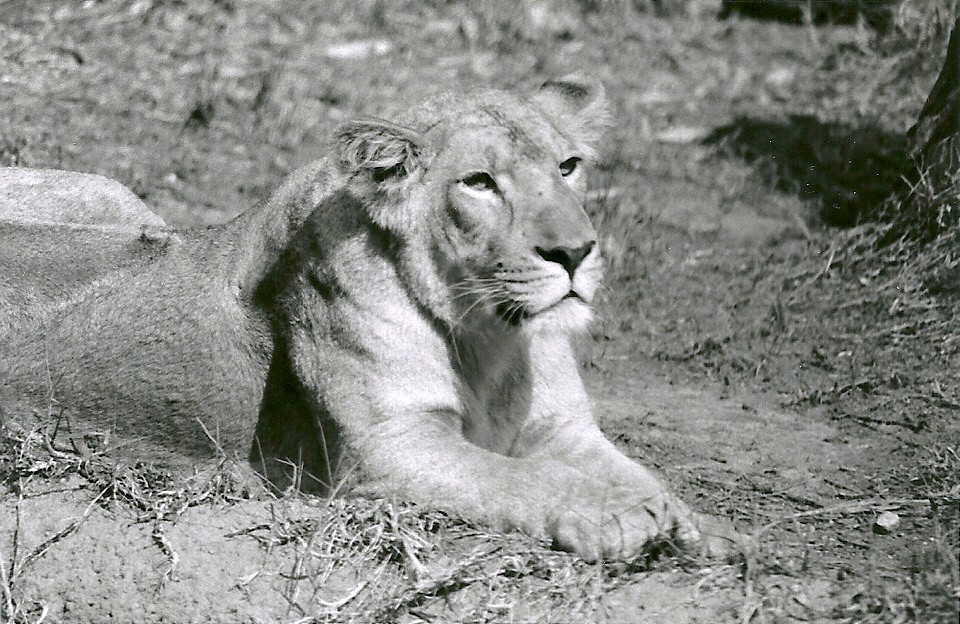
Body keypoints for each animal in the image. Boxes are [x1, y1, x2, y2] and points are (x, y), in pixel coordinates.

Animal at [0, 76, 737, 562]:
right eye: (479, 183)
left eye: (568, 166)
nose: (577, 252)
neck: (491, 336)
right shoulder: (388, 449)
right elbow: (518, 478)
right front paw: (616, 515)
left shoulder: (564, 429)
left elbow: (643, 474)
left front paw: (703, 528)